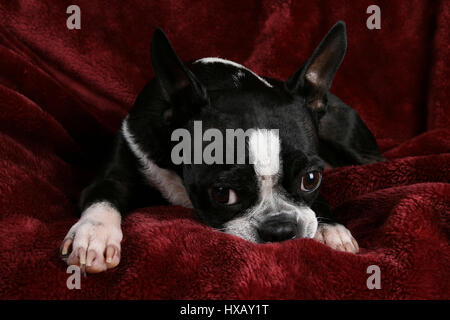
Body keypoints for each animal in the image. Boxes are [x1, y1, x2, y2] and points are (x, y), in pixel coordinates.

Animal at [59, 21, 384, 272]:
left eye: (311, 179)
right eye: (221, 194)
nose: (280, 229)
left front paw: (331, 229)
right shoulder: (119, 165)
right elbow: (104, 195)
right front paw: (95, 235)